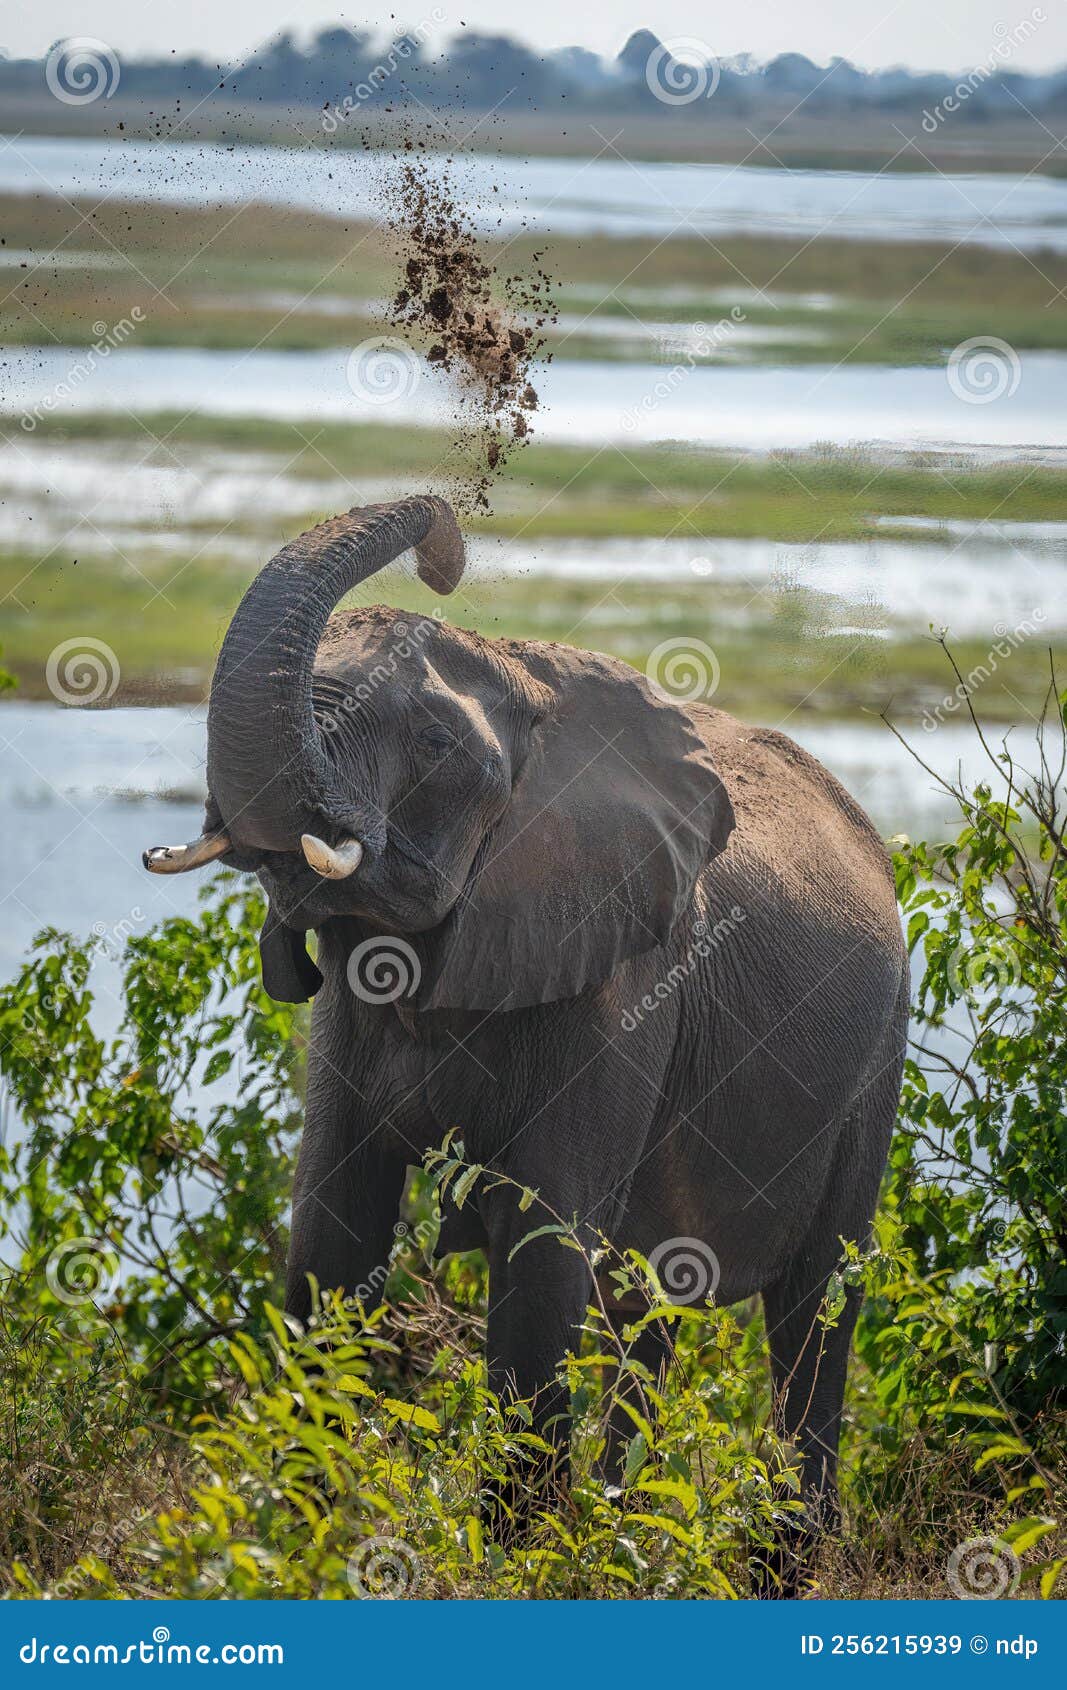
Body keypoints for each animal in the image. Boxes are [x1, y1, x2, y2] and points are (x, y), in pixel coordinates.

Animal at [144, 493, 907, 1579]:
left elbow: (543, 1261)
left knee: (813, 1311)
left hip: (875, 1061)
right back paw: (630, 1532)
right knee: (649, 1310)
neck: (521, 677)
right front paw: (296, 1544)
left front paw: (513, 1563)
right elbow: (332, 1236)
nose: (442, 546)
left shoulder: (625, 982)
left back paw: (774, 1561)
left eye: (430, 743)